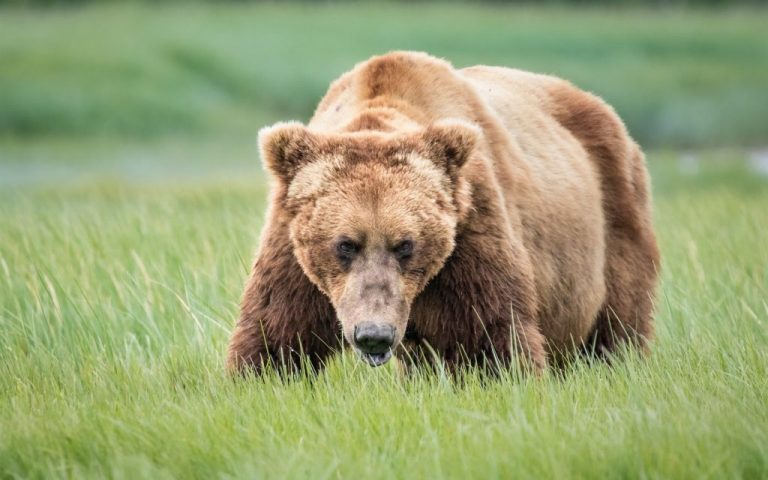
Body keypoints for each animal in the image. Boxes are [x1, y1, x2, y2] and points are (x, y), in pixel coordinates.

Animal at [226, 51, 660, 376]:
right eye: (345, 244)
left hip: (614, 214)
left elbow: (489, 330)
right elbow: (276, 331)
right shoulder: (292, 246)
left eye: (405, 244)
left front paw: (504, 375)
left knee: (618, 319)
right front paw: (260, 377)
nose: (374, 335)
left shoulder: (469, 227)